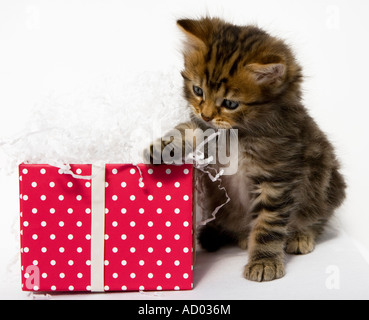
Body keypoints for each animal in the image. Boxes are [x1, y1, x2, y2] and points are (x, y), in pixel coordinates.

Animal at [146, 18, 344, 282]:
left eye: (230, 103)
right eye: (198, 91)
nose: (206, 114)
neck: (240, 133)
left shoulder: (277, 178)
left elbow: (268, 224)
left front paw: (264, 261)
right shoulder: (209, 134)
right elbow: (187, 130)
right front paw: (164, 147)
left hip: (327, 184)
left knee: (317, 217)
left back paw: (300, 235)